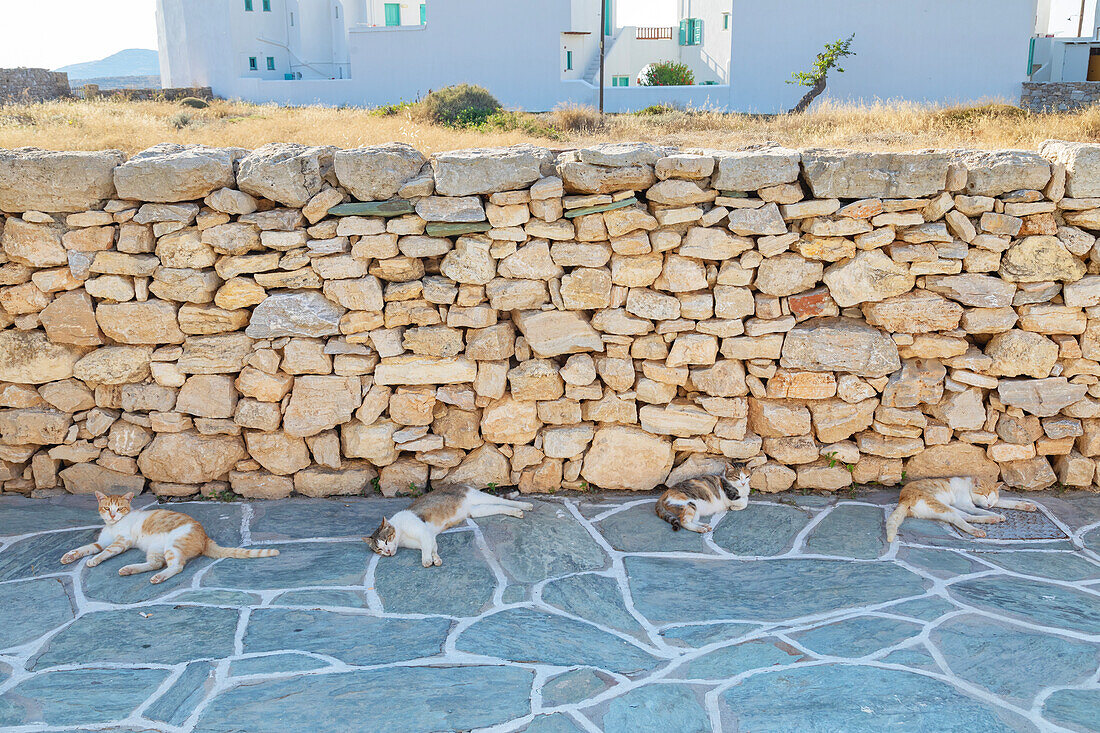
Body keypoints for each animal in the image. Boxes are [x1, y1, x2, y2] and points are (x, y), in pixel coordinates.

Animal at [59, 490, 279, 581]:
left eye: (120, 508)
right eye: (106, 508)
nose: (113, 515)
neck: (113, 525)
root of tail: (205, 536)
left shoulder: (121, 542)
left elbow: (104, 553)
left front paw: (94, 560)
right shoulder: (101, 542)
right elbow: (86, 548)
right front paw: (69, 556)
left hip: (173, 546)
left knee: (176, 566)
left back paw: (158, 577)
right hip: (156, 549)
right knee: (156, 563)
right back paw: (129, 569)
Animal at [365, 482, 532, 567]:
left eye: (387, 540)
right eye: (379, 549)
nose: (387, 551)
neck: (401, 536)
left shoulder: (423, 532)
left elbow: (426, 550)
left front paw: (427, 561)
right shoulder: (428, 537)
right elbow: (431, 548)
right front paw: (435, 559)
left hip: (478, 497)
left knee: (502, 500)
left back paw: (525, 505)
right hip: (476, 511)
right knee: (500, 506)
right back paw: (517, 512)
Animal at [884, 477, 1038, 539]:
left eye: (993, 498)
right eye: (985, 495)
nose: (990, 504)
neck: (968, 486)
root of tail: (903, 499)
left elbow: (1007, 501)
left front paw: (1027, 505)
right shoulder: (965, 505)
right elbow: (979, 509)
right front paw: (998, 514)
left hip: (946, 507)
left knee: (966, 517)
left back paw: (990, 519)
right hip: (942, 506)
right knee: (959, 520)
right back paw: (981, 528)